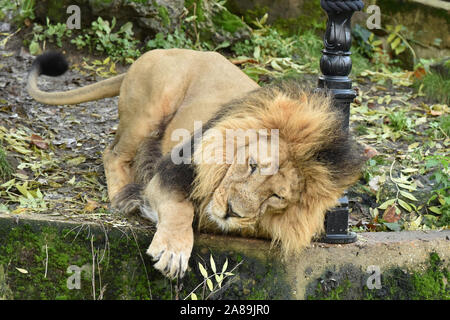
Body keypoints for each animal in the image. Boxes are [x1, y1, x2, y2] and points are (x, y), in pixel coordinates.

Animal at [27, 48, 366, 278]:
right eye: (252, 165)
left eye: (277, 196)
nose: (232, 211)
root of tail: (163, 51)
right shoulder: (170, 173)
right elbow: (179, 209)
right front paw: (172, 251)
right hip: (153, 105)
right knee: (112, 154)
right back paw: (122, 196)